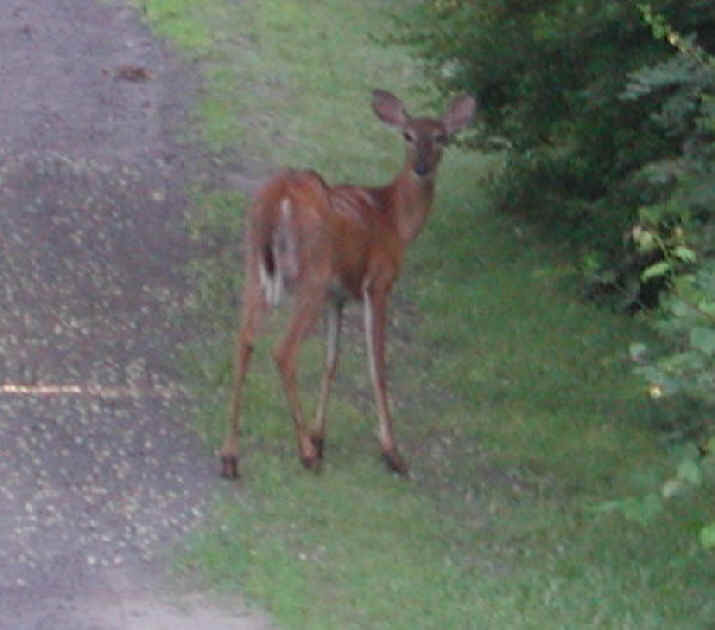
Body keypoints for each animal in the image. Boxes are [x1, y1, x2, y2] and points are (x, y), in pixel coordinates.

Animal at [219, 89, 476, 479]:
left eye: (441, 137)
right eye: (408, 136)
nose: (422, 168)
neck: (393, 219)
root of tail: (279, 194)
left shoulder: (336, 296)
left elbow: (332, 361)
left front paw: (320, 436)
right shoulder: (378, 282)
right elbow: (378, 365)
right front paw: (391, 452)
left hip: (254, 266)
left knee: (244, 340)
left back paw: (231, 456)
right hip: (311, 275)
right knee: (283, 351)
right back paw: (305, 455)